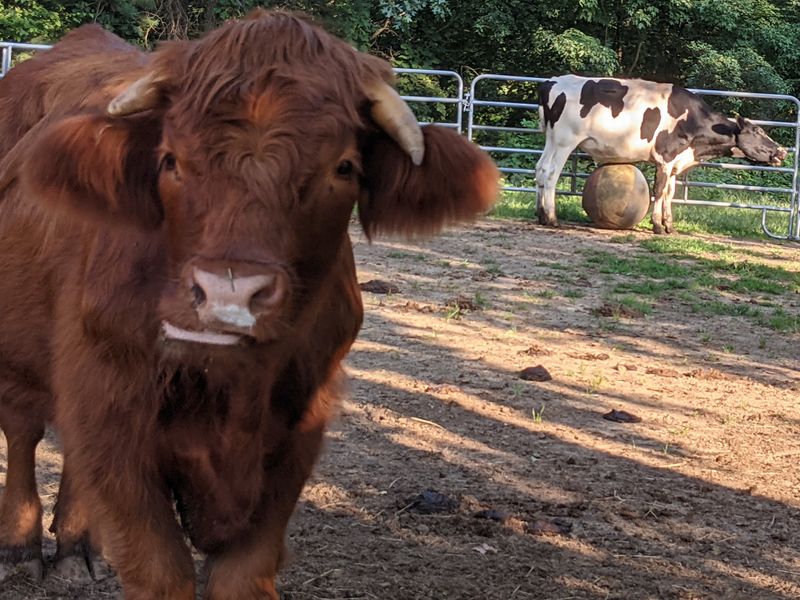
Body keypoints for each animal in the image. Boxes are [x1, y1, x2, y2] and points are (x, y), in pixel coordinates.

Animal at [0, 11, 499, 599]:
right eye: (170, 161)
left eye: (344, 168)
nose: (229, 294)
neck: (232, 388)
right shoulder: (111, 411)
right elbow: (160, 570)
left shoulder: (300, 427)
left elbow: (243, 572)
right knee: (24, 430)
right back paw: (19, 546)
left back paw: (79, 546)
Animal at [536, 74, 787, 234]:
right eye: (757, 131)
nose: (782, 151)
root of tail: (552, 81)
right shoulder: (665, 157)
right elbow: (659, 190)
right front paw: (657, 225)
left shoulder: (675, 160)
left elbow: (670, 192)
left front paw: (669, 225)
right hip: (565, 141)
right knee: (551, 174)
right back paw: (552, 218)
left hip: (550, 139)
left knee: (540, 169)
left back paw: (540, 215)